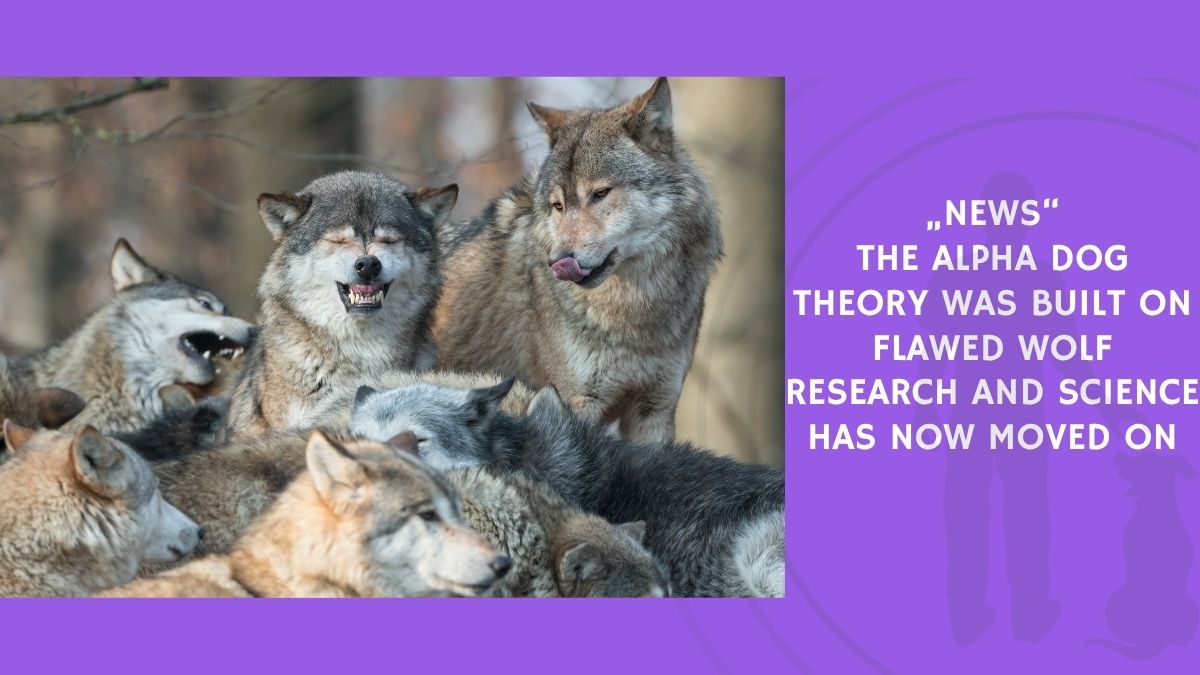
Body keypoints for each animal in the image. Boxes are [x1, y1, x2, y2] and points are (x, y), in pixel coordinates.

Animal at [432, 77, 723, 444]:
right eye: (558, 205)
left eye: (600, 194)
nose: (557, 261)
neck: (635, 312)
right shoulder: (577, 402)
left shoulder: (655, 407)